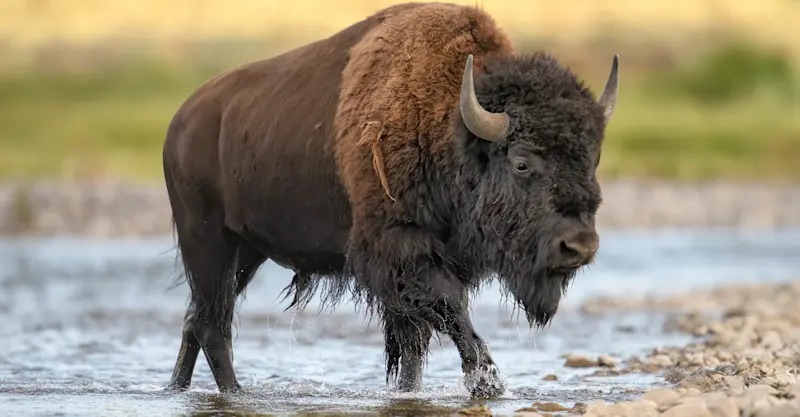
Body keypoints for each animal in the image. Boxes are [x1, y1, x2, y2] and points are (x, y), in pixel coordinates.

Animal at [162, 2, 618, 398]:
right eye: (521, 163)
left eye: (593, 157)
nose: (580, 246)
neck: (448, 125)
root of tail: (181, 122)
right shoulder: (400, 248)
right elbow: (448, 310)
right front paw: (486, 384)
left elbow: (414, 344)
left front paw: (411, 392)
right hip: (208, 242)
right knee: (212, 325)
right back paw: (234, 394)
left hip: (246, 253)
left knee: (195, 319)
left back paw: (177, 390)